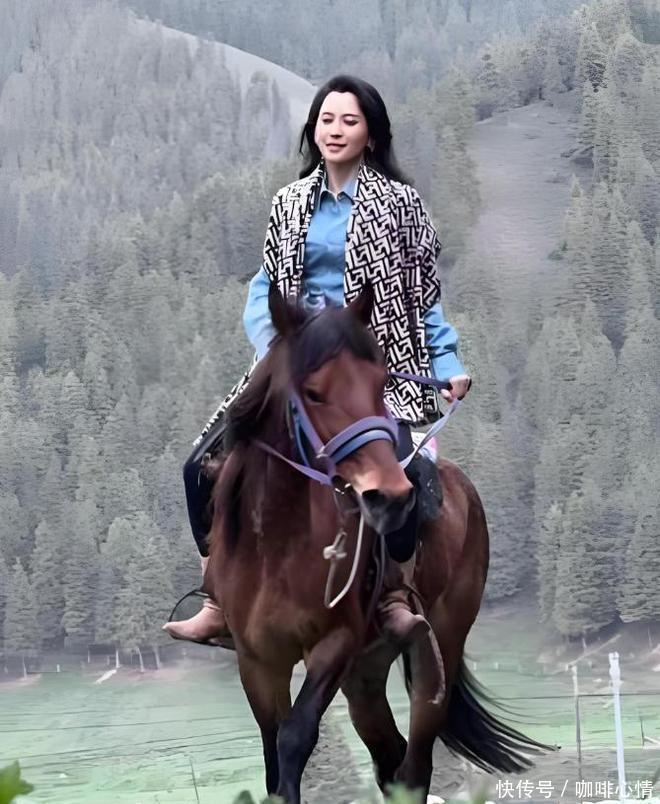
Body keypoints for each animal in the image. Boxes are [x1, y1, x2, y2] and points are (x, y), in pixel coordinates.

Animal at [203, 282, 549, 803]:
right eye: (313, 392)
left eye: (378, 381)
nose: (389, 496)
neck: (276, 547)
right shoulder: (257, 658)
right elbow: (272, 758)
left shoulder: (335, 643)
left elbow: (295, 738)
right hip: (366, 672)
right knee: (391, 758)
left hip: (435, 647)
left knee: (414, 763)